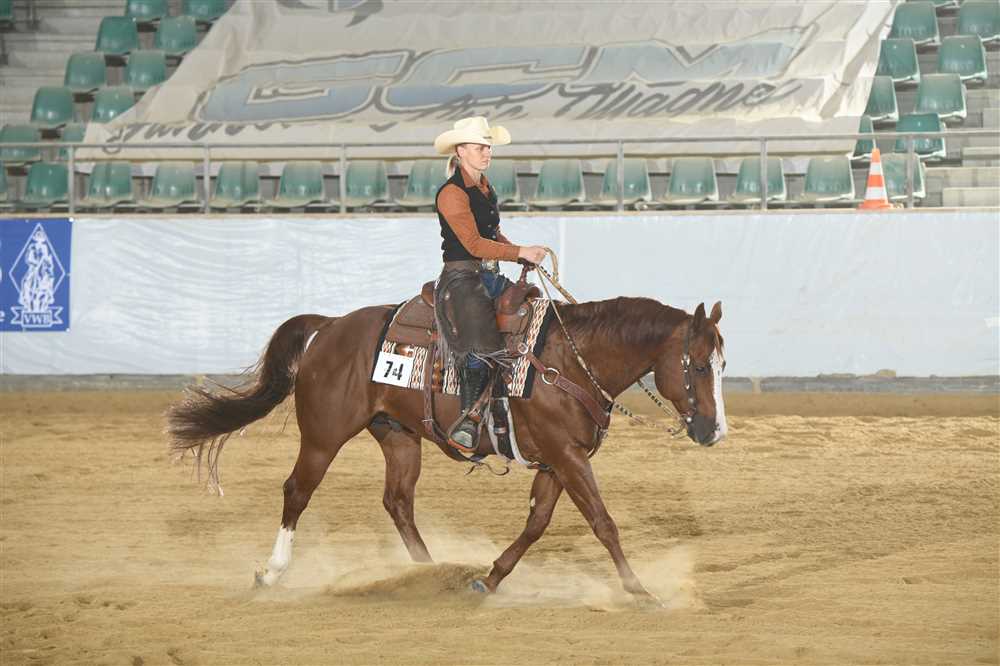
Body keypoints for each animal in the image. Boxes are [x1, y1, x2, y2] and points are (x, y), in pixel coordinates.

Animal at [166, 292, 726, 603]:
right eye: (699, 365)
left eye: (722, 364)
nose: (714, 432)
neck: (569, 361)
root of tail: (328, 327)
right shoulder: (566, 457)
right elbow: (603, 523)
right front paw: (639, 591)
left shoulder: (557, 460)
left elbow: (537, 524)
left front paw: (490, 579)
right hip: (324, 435)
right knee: (297, 491)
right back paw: (272, 572)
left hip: (398, 435)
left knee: (397, 501)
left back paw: (426, 571)